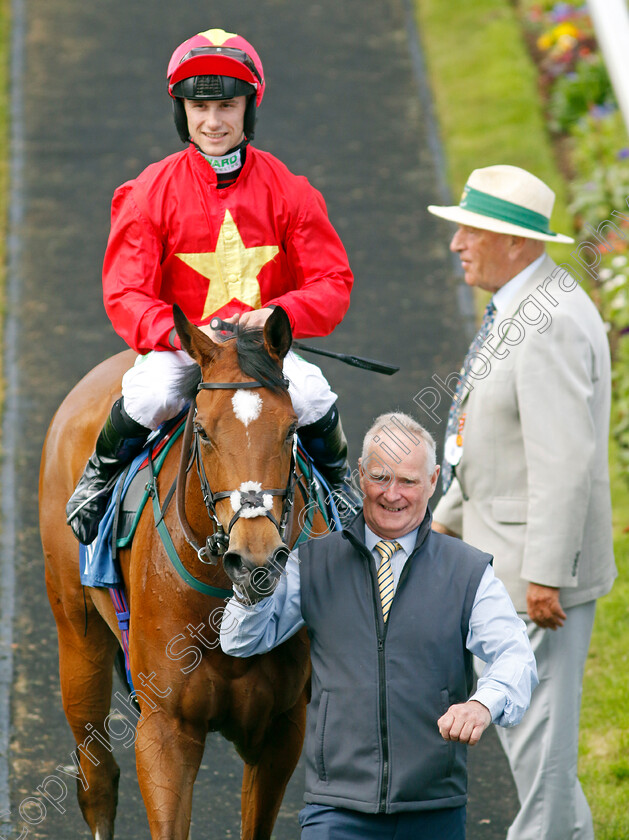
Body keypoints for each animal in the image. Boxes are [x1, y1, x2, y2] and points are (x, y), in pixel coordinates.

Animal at [38, 306, 328, 840]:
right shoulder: (165, 728)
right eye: (205, 431)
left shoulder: (282, 727)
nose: (254, 558)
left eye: (292, 429)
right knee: (97, 781)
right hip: (78, 639)